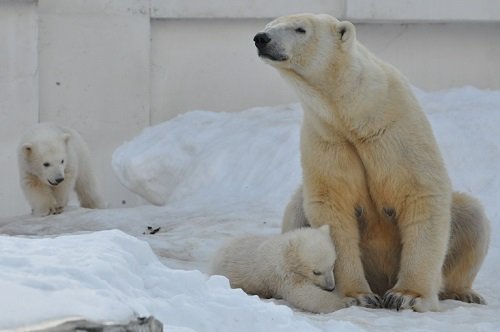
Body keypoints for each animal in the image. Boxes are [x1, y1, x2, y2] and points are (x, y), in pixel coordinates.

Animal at [254, 14, 488, 312]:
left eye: (300, 29)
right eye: (269, 24)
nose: (261, 38)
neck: (354, 113)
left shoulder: (393, 129)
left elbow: (421, 193)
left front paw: (407, 295)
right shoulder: (328, 136)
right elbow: (331, 203)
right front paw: (358, 295)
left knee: (472, 216)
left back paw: (465, 293)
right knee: (297, 208)